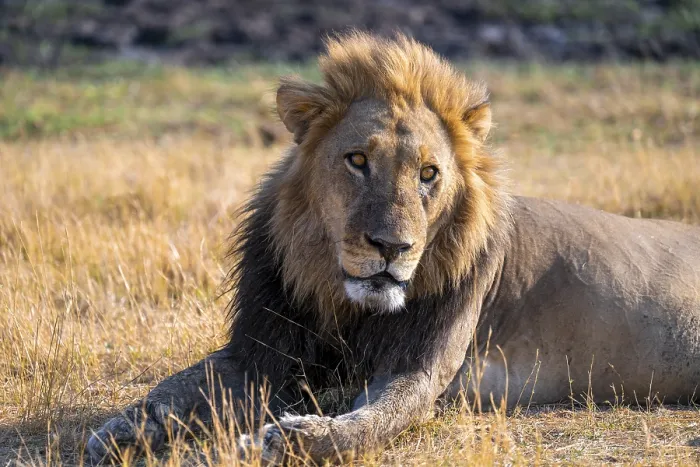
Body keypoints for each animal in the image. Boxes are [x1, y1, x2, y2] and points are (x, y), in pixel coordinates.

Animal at [87, 32, 700, 464]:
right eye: (358, 160)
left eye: (429, 174)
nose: (392, 246)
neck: (342, 303)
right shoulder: (259, 352)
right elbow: (174, 388)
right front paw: (120, 431)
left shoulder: (420, 370)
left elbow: (367, 425)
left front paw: (285, 440)